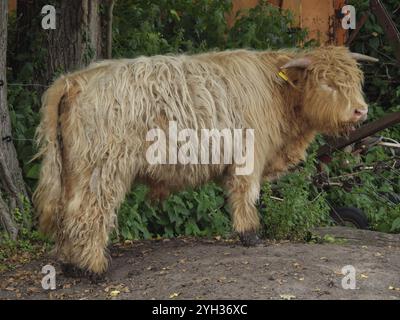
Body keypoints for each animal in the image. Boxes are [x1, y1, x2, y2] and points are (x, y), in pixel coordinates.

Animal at [33, 45, 378, 278]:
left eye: (355, 80)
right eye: (326, 82)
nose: (361, 110)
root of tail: (75, 78)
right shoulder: (248, 154)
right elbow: (245, 195)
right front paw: (250, 234)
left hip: (74, 167)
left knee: (66, 209)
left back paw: (70, 264)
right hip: (103, 166)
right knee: (88, 211)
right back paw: (93, 268)